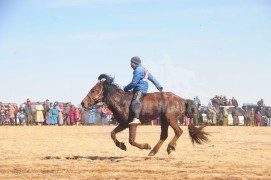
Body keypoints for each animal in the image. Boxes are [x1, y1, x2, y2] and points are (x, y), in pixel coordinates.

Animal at [81, 74, 210, 155]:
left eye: (93, 90)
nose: (83, 103)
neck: (122, 101)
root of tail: (182, 100)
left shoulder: (132, 125)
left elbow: (131, 141)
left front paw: (145, 145)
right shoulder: (124, 124)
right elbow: (112, 134)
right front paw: (122, 146)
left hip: (171, 119)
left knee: (178, 131)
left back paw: (169, 147)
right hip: (164, 120)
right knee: (164, 135)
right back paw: (153, 151)